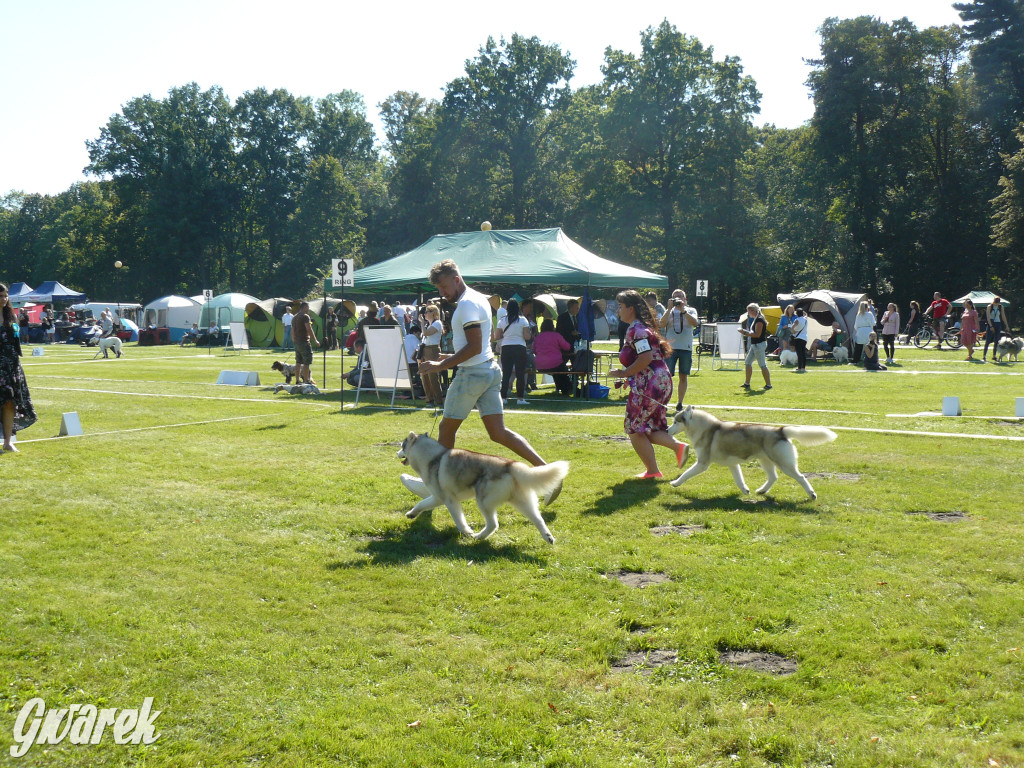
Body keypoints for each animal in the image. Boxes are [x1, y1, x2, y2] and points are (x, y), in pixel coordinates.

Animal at [395, 434, 569, 548]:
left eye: (402, 445)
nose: (396, 453)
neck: (433, 457)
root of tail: (510, 465)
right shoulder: (437, 498)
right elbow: (421, 504)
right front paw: (411, 514)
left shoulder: (447, 500)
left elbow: (459, 521)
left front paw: (467, 532)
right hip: (523, 503)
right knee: (539, 519)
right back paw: (548, 537)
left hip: (483, 501)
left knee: (493, 524)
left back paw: (478, 537)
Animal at [667, 405, 835, 501]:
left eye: (676, 421)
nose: (667, 430)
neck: (706, 428)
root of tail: (780, 430)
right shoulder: (733, 464)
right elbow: (739, 480)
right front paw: (744, 490)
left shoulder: (702, 463)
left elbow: (686, 474)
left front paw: (675, 483)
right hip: (766, 461)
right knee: (773, 477)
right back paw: (762, 490)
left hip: (784, 464)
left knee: (801, 477)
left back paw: (812, 495)